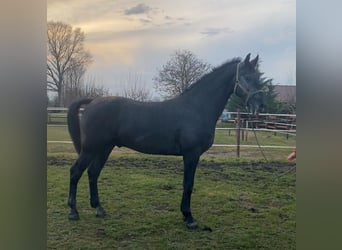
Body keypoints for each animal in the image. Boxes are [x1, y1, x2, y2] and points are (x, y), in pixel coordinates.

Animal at [66, 53, 264, 229]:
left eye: (259, 77)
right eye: (247, 77)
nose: (259, 105)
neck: (196, 108)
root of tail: (93, 101)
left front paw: (186, 215)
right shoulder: (191, 154)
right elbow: (188, 184)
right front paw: (189, 217)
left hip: (104, 148)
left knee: (93, 173)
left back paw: (99, 208)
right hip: (91, 148)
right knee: (76, 171)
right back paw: (73, 212)